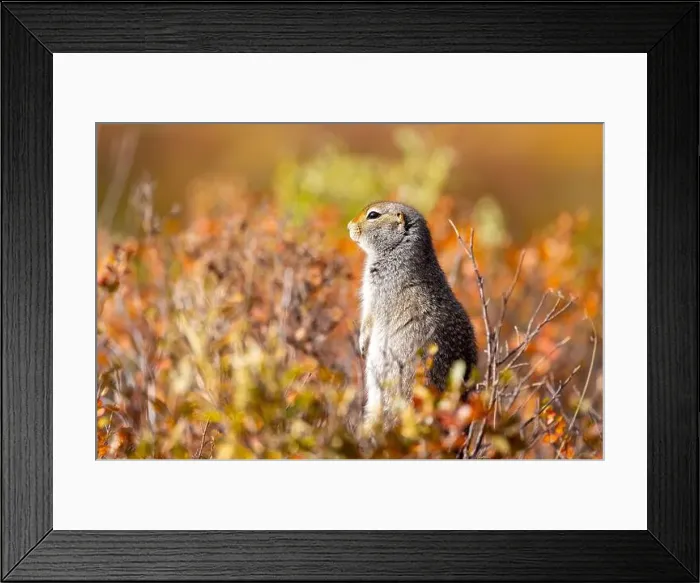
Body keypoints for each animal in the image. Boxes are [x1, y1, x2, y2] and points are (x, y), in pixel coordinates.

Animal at [348, 201, 478, 428]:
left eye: (373, 215)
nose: (348, 226)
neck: (397, 250)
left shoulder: (378, 292)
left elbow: (370, 317)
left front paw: (362, 343)